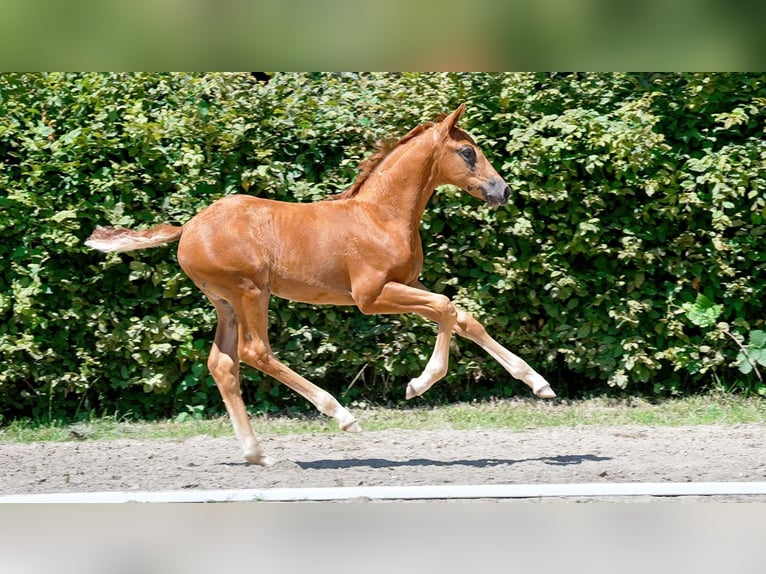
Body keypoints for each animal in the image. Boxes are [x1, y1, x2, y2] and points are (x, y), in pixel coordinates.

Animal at [87, 103, 560, 466]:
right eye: (467, 152)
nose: (502, 190)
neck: (380, 215)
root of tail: (188, 227)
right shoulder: (370, 296)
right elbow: (446, 306)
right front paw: (418, 384)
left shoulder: (408, 283)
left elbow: (463, 317)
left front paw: (539, 383)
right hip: (251, 292)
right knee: (256, 353)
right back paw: (341, 414)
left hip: (225, 302)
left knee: (223, 364)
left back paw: (258, 454)